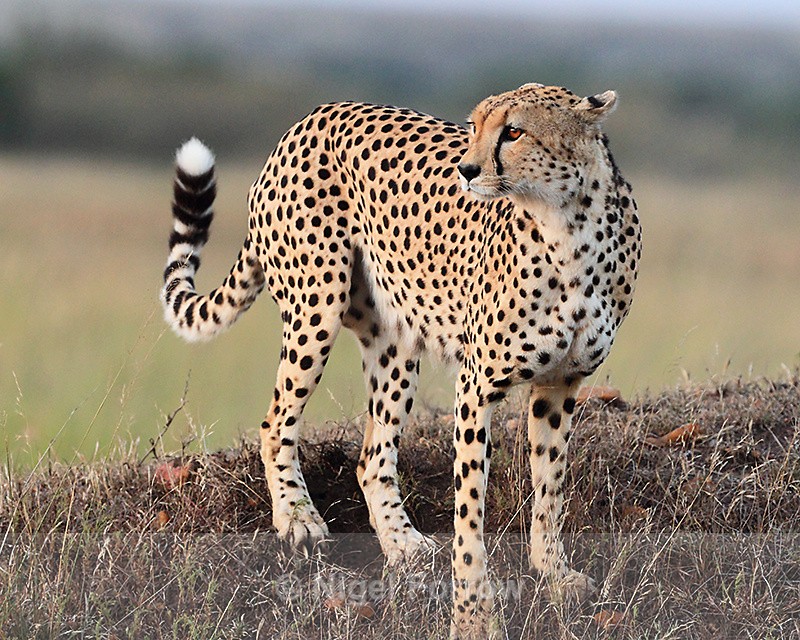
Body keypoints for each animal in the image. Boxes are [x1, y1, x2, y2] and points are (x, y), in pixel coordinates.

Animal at [160, 83, 640, 639]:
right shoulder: (477, 386)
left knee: (371, 457)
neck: (568, 226)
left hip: (394, 343)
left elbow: (549, 489)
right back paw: (297, 518)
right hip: (316, 306)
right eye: (474, 126)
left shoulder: (560, 386)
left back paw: (401, 543)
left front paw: (554, 573)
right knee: (275, 421)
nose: (466, 169)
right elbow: (469, 513)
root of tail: (312, 117)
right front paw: (473, 615)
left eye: (514, 131)